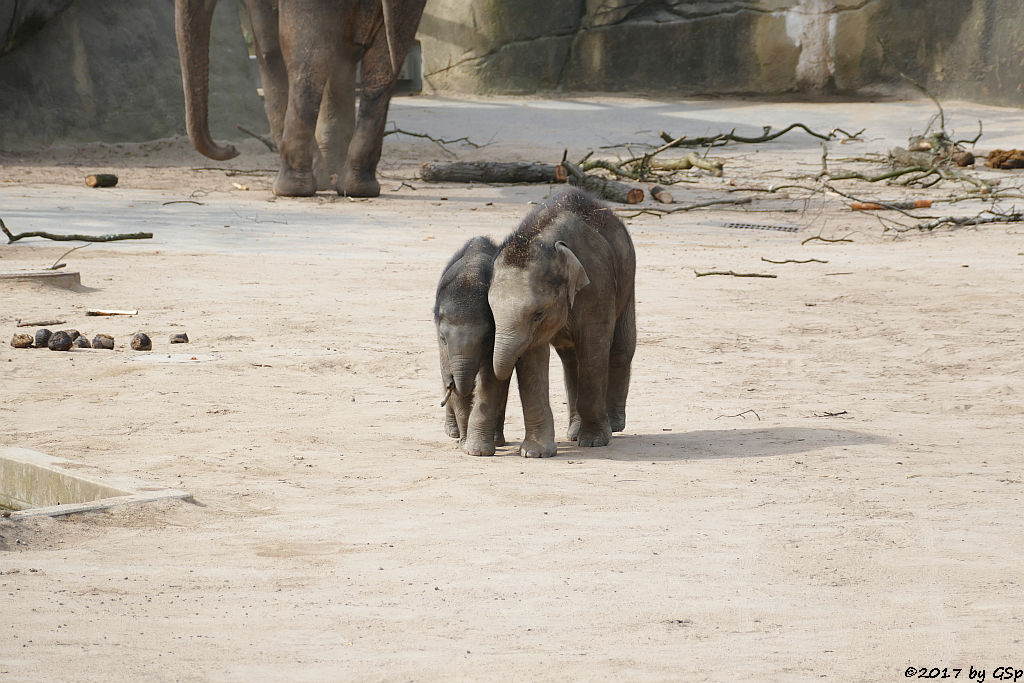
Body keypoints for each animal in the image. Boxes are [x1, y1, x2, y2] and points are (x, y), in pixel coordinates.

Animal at [434, 235, 509, 454]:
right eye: (443, 338)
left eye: (486, 338)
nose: (452, 384)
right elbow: (448, 373)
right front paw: (464, 443)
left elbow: (492, 378)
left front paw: (476, 450)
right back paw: (453, 433)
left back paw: (498, 440)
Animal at [485, 188, 630, 458]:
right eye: (491, 311)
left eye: (538, 314)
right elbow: (533, 360)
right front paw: (535, 453)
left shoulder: (597, 285)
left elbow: (595, 348)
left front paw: (594, 441)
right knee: (570, 359)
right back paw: (574, 431)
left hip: (628, 272)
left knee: (621, 347)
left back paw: (613, 425)